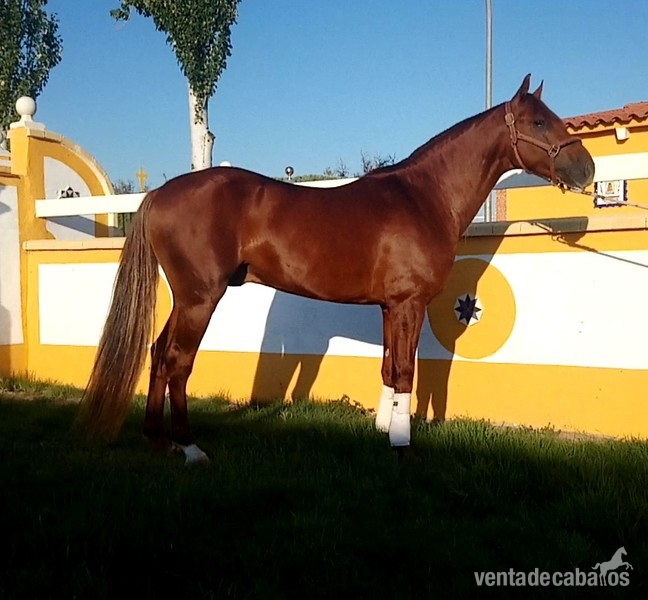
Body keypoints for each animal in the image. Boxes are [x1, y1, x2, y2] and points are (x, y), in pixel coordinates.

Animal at [77, 74, 594, 465]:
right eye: (538, 121)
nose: (586, 169)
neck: (424, 197)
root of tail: (158, 195)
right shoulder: (409, 304)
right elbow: (405, 371)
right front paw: (403, 445)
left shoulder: (389, 307)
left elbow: (388, 367)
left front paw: (384, 429)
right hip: (200, 298)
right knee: (177, 361)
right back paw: (189, 448)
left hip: (186, 299)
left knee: (158, 352)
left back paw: (157, 440)